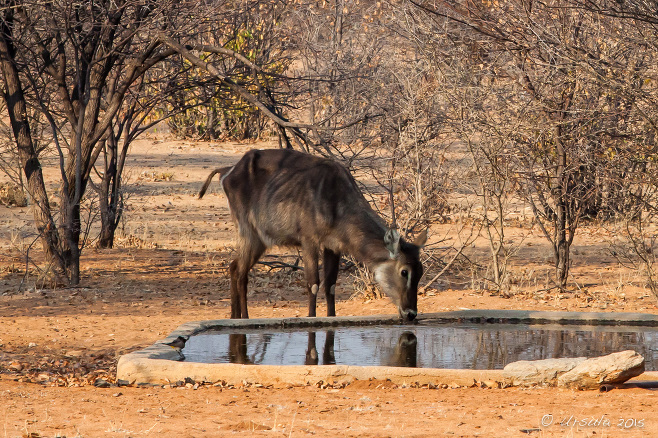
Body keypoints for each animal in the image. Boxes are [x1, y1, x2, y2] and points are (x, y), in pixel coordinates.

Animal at [199, 149, 426, 320]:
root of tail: (228, 171)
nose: (411, 313)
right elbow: (313, 284)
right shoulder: (309, 241)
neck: (336, 199)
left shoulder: (333, 246)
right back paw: (244, 318)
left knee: (235, 268)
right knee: (241, 272)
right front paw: (311, 318)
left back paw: (234, 317)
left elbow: (331, 285)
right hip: (249, 232)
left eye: (421, 271)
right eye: (404, 271)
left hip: (259, 240)